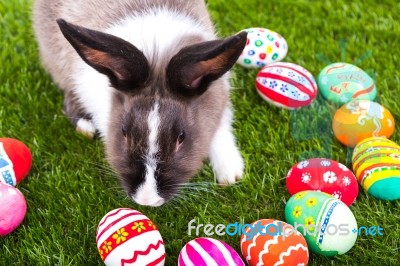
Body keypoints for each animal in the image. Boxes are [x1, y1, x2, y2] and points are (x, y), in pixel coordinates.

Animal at [33, 0, 247, 207]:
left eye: (181, 137)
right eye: (124, 131)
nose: (147, 200)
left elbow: (220, 131)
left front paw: (230, 174)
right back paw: (85, 125)